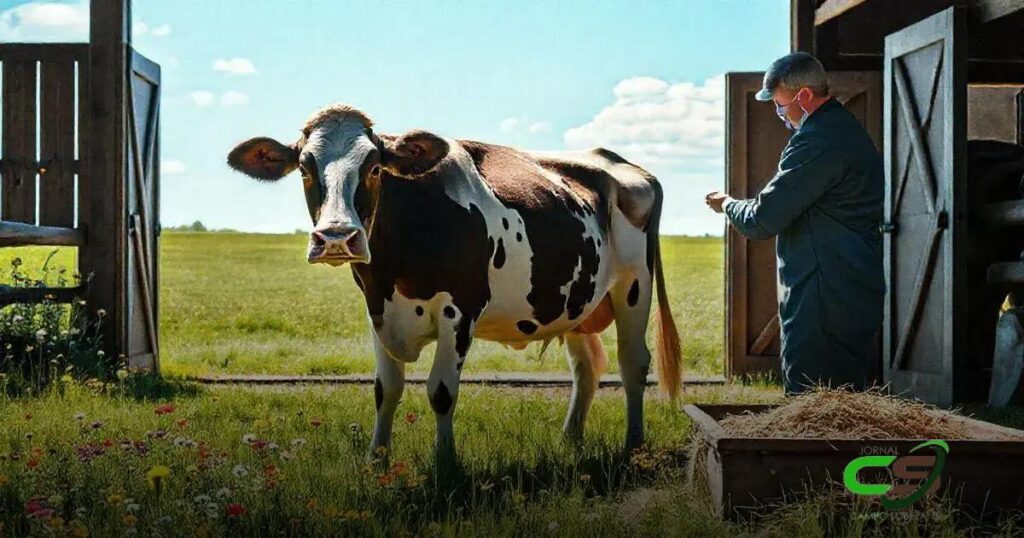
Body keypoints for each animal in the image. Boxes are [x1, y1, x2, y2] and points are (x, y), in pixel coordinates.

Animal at [227, 104, 682, 454]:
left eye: (374, 167)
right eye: (305, 168)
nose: (337, 237)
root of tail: (622, 163)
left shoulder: (460, 309)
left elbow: (442, 391)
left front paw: (445, 465)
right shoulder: (376, 308)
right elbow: (385, 390)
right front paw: (378, 460)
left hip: (633, 287)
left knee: (632, 363)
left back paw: (634, 444)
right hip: (576, 300)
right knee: (587, 367)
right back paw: (569, 440)